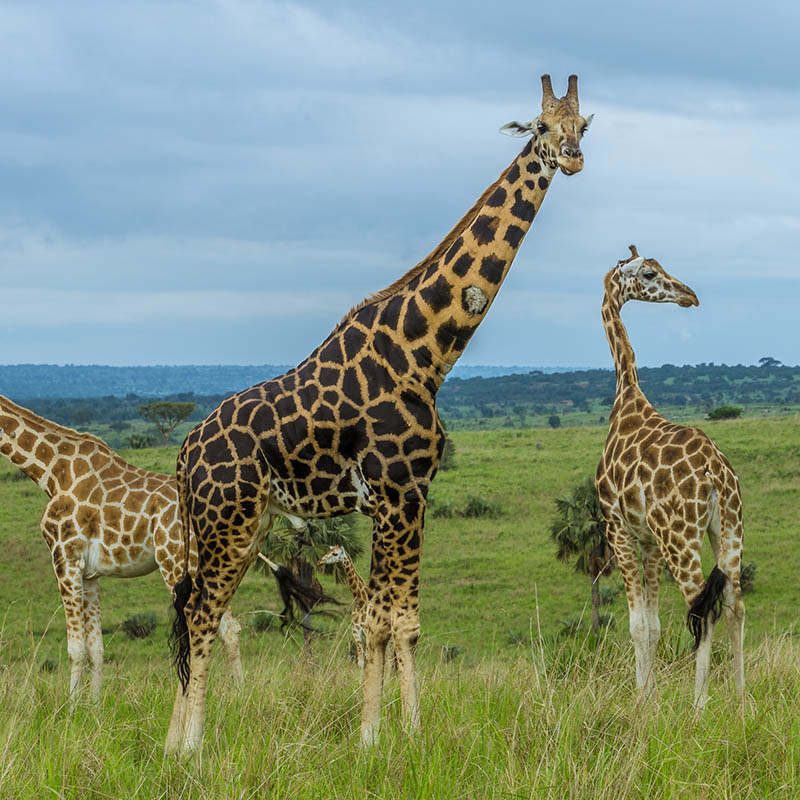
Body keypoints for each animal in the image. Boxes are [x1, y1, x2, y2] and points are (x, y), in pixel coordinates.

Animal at [0, 394, 244, 700]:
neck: (53, 471)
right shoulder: (89, 574)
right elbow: (96, 648)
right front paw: (93, 704)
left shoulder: (65, 559)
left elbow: (75, 649)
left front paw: (69, 706)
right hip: (207, 563)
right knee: (229, 628)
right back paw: (236, 697)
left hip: (176, 561)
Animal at [167, 72, 592, 752]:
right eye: (542, 126)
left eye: (583, 125)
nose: (573, 158)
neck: (427, 353)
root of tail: (183, 453)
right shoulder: (400, 492)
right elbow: (393, 620)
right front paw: (392, 735)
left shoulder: (400, 497)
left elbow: (391, 618)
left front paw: (389, 732)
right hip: (227, 520)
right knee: (202, 613)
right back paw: (193, 749)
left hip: (242, 525)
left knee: (191, 608)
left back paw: (173, 742)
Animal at [592, 245, 744, 708]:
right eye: (648, 273)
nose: (689, 295)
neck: (626, 396)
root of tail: (715, 470)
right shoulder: (648, 540)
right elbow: (653, 625)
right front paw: (651, 697)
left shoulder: (618, 528)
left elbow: (637, 624)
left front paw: (641, 701)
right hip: (727, 527)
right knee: (735, 602)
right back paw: (741, 698)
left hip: (681, 538)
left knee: (703, 609)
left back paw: (699, 705)